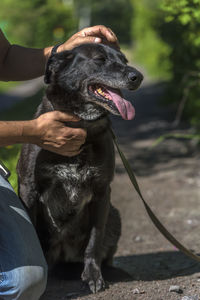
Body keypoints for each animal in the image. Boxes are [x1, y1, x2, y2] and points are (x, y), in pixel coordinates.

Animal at [16, 42, 142, 292]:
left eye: (124, 60)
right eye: (100, 59)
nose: (137, 77)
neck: (81, 125)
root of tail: (62, 256)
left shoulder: (102, 192)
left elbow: (95, 241)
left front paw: (93, 274)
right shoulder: (28, 187)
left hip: (114, 214)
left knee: (104, 252)